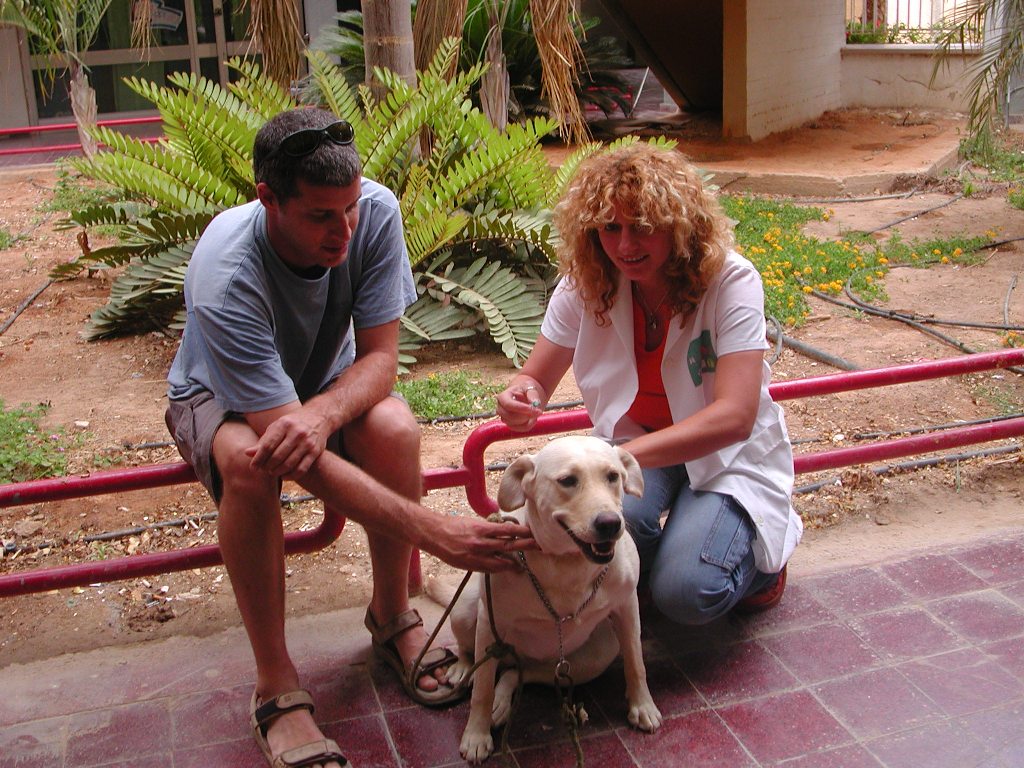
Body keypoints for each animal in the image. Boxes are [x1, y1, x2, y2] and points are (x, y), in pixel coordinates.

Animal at [440, 435, 663, 764]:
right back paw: (463, 669)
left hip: (593, 656)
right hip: (467, 612)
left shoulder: (627, 608)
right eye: (567, 481)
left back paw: (502, 702)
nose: (610, 523)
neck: (568, 563)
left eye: (613, 476)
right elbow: (482, 688)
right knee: (477, 658)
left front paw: (642, 706)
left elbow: (636, 663)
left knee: (516, 674)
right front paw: (476, 735)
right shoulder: (490, 624)